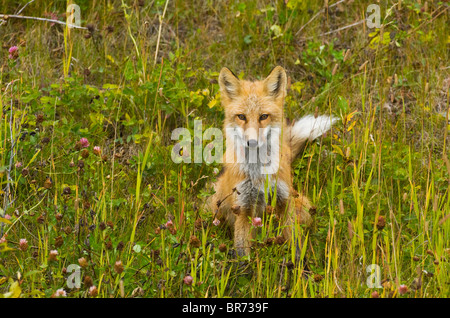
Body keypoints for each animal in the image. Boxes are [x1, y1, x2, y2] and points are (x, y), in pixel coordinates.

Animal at [209, 66, 336, 258]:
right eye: (241, 116)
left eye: (263, 116)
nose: (252, 142)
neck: (259, 175)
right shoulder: (243, 208)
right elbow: (242, 253)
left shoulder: (284, 201)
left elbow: (296, 244)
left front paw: (299, 265)